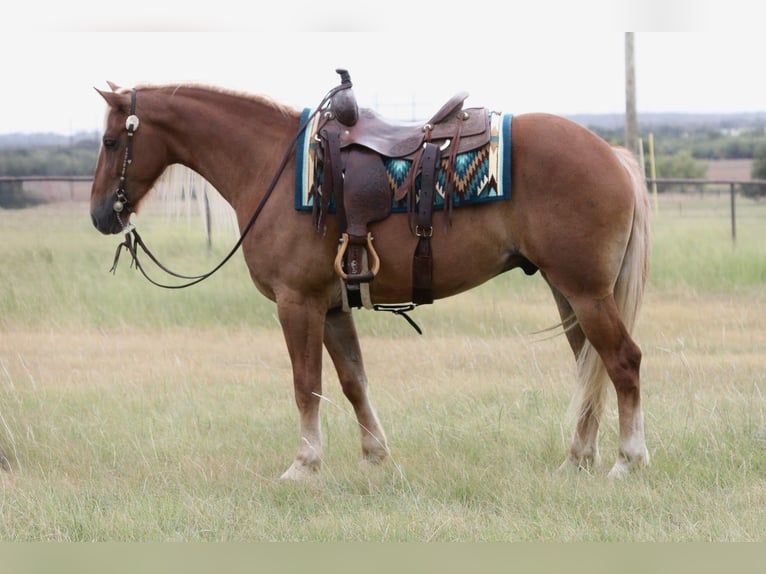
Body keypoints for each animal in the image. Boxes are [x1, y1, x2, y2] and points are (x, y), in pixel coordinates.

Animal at [90, 75, 651, 480]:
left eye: (112, 140)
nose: (100, 215)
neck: (272, 166)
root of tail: (613, 156)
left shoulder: (297, 303)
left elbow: (306, 384)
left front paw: (304, 464)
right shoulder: (333, 307)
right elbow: (352, 381)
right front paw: (375, 455)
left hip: (586, 293)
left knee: (622, 361)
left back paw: (628, 460)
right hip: (568, 293)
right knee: (588, 367)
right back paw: (577, 459)